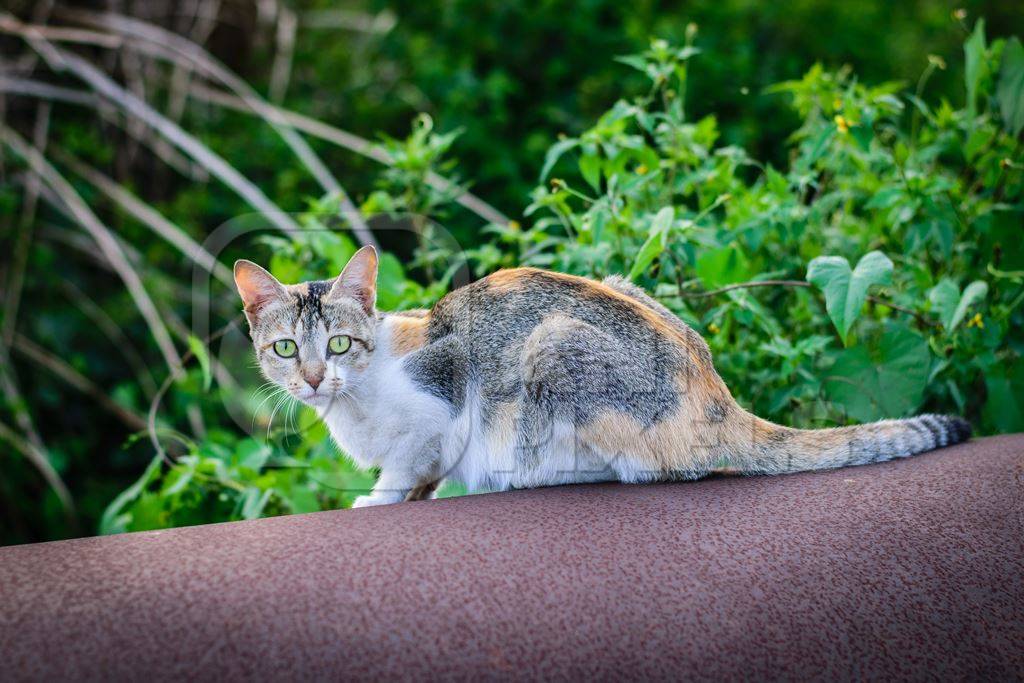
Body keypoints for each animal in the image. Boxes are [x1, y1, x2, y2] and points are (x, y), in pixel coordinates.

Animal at [235, 245, 970, 507]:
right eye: (284, 349)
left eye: (337, 344)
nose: (311, 378)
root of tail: (722, 399)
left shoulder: (440, 404)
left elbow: (409, 466)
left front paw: (380, 498)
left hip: (553, 347)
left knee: (654, 471)